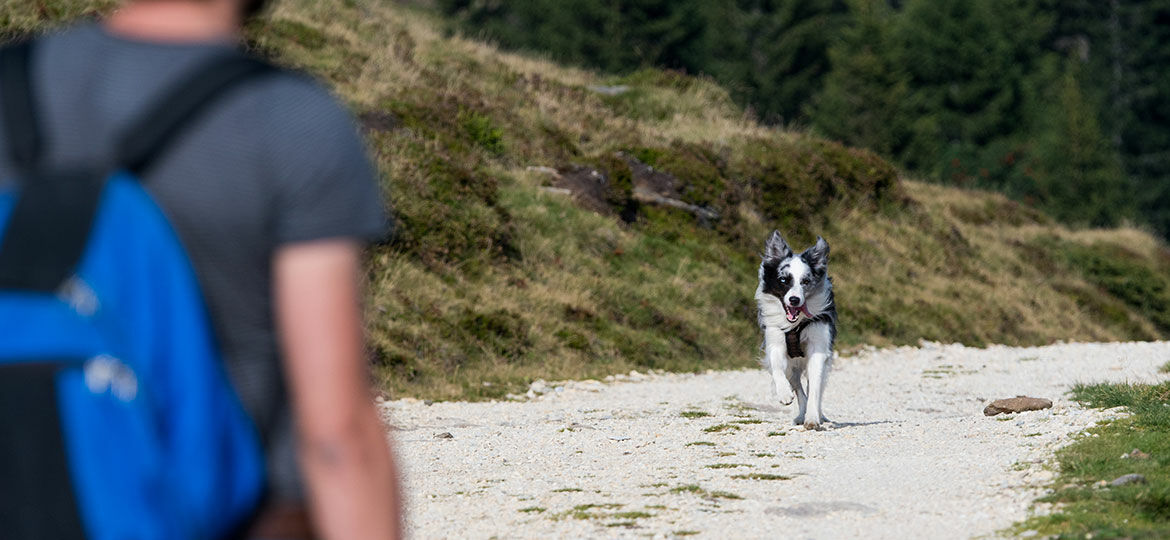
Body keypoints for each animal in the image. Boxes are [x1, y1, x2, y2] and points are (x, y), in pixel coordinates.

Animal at [753, 231, 837, 430]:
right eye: (784, 280)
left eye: (806, 281)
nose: (794, 300)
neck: (795, 324)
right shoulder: (775, 340)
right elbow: (777, 366)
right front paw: (784, 394)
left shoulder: (818, 349)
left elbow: (814, 388)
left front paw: (813, 418)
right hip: (793, 367)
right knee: (797, 386)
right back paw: (800, 414)